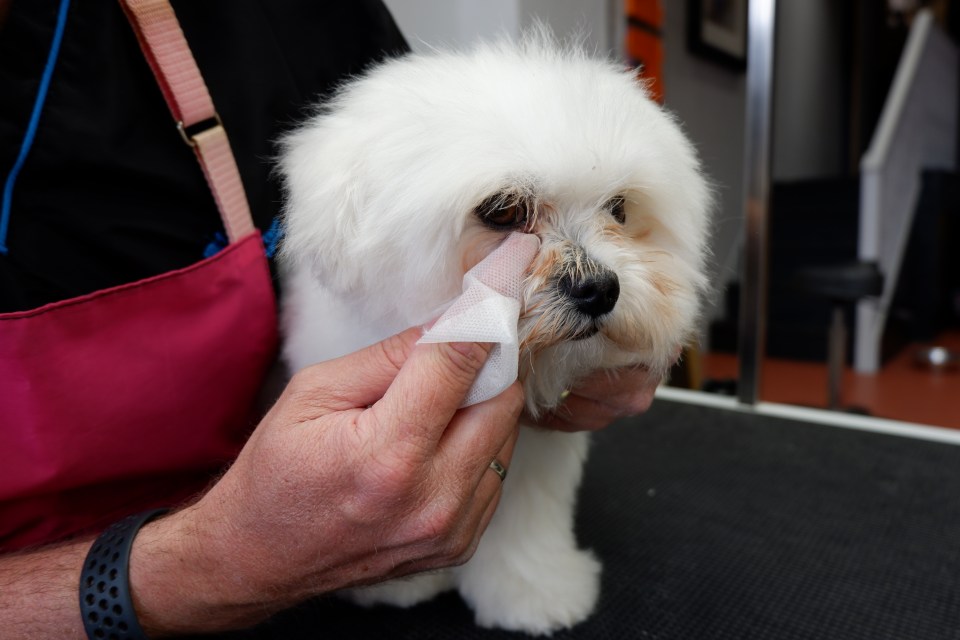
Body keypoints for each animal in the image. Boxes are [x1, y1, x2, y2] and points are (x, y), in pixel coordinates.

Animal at [278, 33, 712, 636]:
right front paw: (394, 583)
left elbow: (525, 522)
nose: (599, 288)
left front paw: (531, 591)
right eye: (504, 210)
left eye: (620, 208)